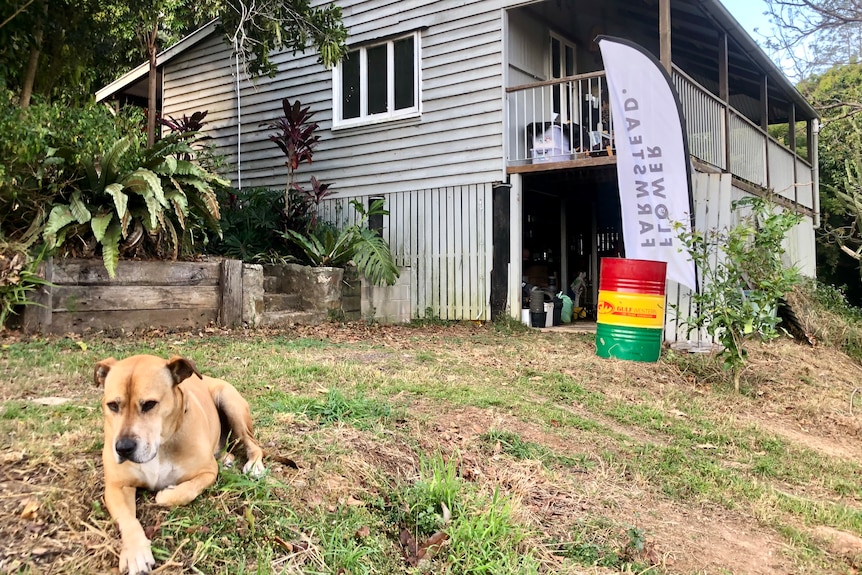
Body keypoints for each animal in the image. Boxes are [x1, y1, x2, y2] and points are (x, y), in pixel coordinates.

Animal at [93, 356, 264, 575]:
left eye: (150, 404)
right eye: (113, 405)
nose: (123, 448)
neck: (160, 446)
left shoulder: (207, 472)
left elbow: (185, 491)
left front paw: (167, 493)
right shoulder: (117, 486)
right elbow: (127, 519)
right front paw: (135, 552)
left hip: (230, 402)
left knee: (252, 442)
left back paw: (254, 465)